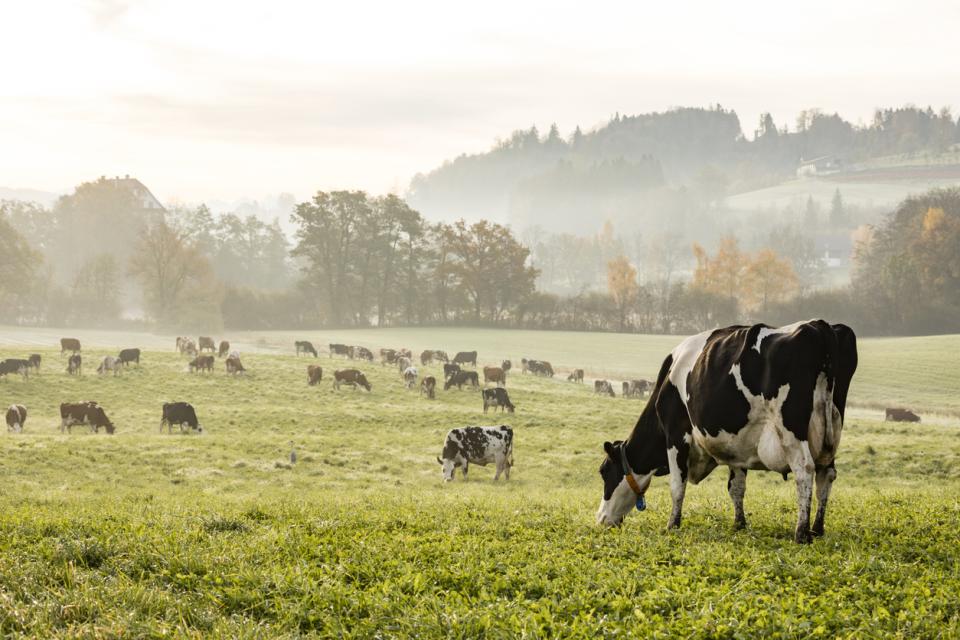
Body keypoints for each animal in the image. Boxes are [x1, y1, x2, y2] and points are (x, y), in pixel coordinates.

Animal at [596, 320, 858, 544]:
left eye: (604, 471)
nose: (601, 519)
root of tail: (819, 326)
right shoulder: (737, 445)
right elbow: (736, 487)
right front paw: (739, 524)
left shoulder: (676, 434)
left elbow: (677, 485)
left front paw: (672, 525)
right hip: (831, 431)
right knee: (826, 474)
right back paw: (817, 528)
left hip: (791, 429)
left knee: (805, 470)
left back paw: (802, 532)